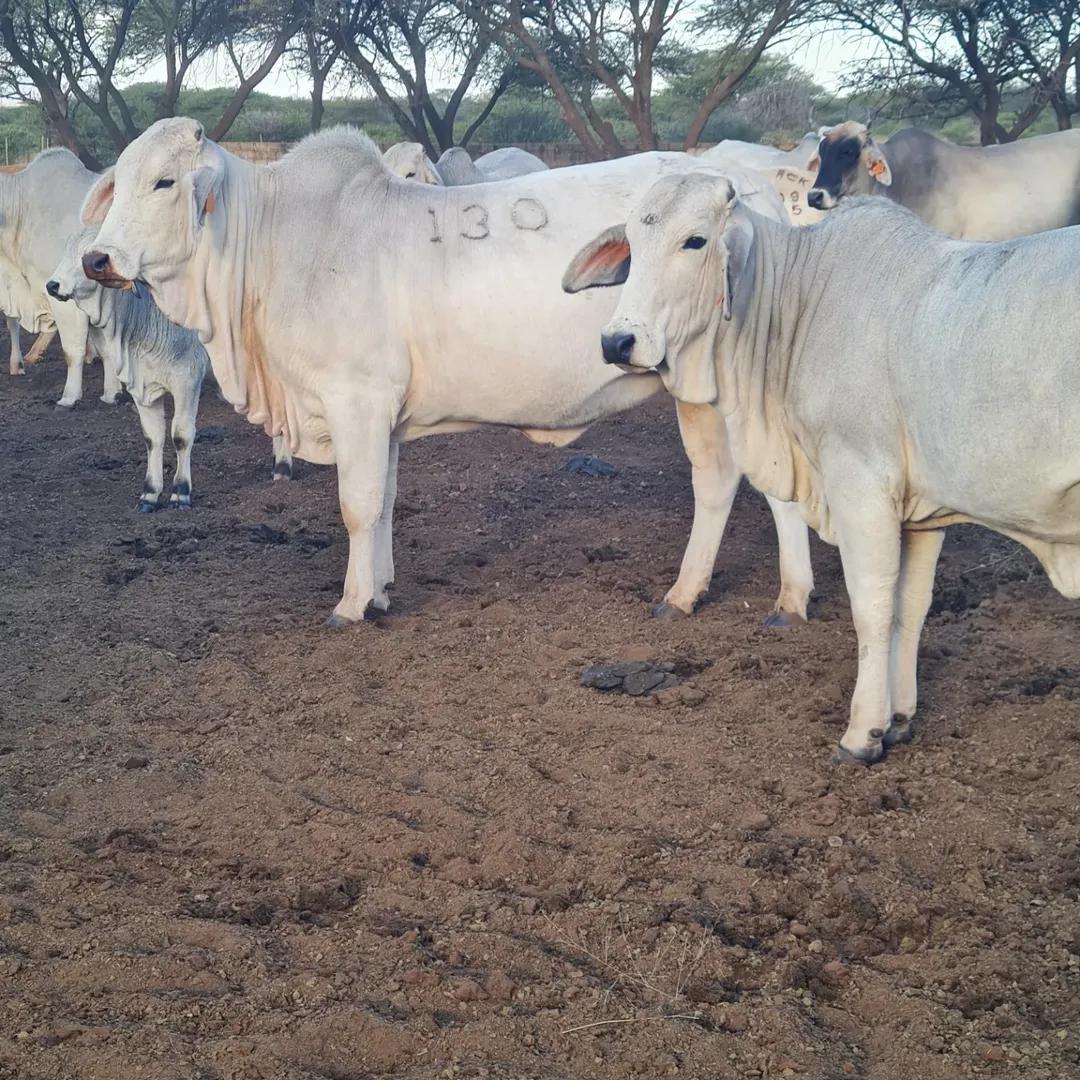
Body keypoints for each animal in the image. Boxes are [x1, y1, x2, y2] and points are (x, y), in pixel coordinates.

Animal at [46, 224, 293, 508]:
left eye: (87, 256)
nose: (52, 285)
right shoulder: (141, 388)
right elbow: (152, 437)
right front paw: (150, 493)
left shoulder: (187, 382)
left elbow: (181, 435)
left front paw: (181, 491)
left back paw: (284, 467)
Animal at [79, 118, 814, 627]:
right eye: (119, 179)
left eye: (164, 182)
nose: (96, 259)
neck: (276, 240)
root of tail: (752, 191)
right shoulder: (381, 416)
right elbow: (382, 504)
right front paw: (379, 589)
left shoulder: (356, 398)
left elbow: (357, 504)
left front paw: (351, 605)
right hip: (697, 388)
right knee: (718, 482)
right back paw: (687, 594)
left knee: (771, 485)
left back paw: (789, 598)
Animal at [564, 177, 1080, 764]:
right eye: (631, 241)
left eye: (695, 240)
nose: (616, 341)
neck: (798, 300)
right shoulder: (924, 511)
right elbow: (911, 606)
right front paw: (899, 717)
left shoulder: (861, 485)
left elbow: (873, 606)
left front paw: (863, 734)